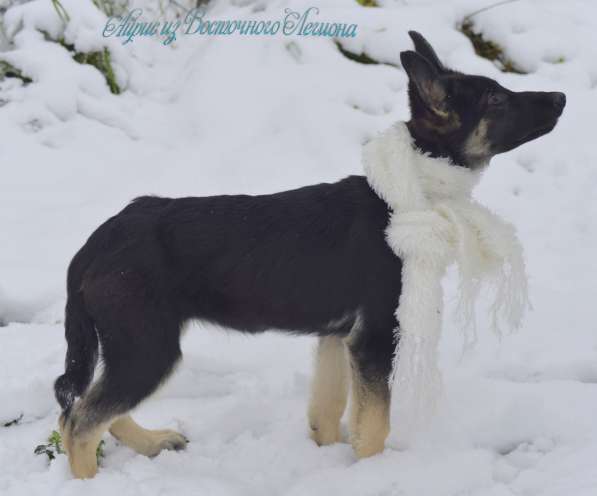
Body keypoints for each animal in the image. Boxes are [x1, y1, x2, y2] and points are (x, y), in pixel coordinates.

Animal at [54, 32, 564, 480]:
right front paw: (371, 473)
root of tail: (95, 243)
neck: (412, 188)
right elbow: (374, 425)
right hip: (148, 345)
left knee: (92, 409)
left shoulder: (337, 337)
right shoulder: (375, 336)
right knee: (78, 422)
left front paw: (331, 456)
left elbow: (329, 408)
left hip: (133, 346)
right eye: (495, 100)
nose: (561, 97)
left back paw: (151, 441)